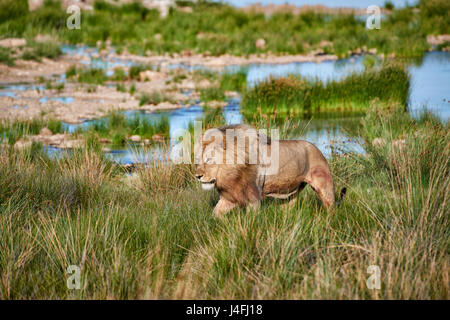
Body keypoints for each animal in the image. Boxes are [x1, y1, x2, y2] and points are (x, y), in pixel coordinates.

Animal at [193, 124, 344, 219]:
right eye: (198, 160)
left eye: (209, 159)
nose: (197, 176)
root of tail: (318, 149)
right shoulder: (229, 196)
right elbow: (215, 214)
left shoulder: (253, 196)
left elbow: (251, 220)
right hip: (292, 193)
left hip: (325, 187)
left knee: (331, 207)